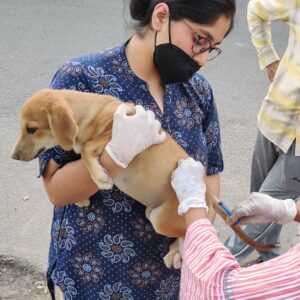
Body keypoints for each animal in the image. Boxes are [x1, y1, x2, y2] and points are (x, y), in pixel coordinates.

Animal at [12, 89, 276, 268]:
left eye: (31, 128)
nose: (13, 156)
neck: (91, 112)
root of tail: (210, 195)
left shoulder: (109, 134)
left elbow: (86, 150)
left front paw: (99, 177)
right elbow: (80, 158)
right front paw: (81, 197)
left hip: (160, 218)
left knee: (191, 231)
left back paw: (176, 251)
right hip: (153, 213)